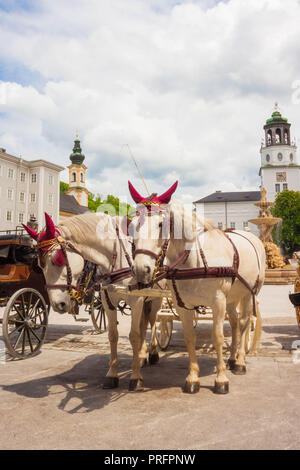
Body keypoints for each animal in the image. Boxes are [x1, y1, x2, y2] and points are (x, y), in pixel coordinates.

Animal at [22, 211, 162, 392]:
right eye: (39, 265)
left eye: (57, 259)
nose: (58, 305)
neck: (115, 258)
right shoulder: (107, 301)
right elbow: (113, 335)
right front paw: (112, 374)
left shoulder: (136, 299)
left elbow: (134, 335)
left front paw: (135, 377)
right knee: (144, 324)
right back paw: (142, 356)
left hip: (156, 298)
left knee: (152, 321)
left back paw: (153, 353)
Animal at [129, 200, 264, 394]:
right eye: (131, 227)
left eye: (161, 225)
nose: (141, 270)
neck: (193, 259)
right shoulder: (183, 305)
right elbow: (189, 337)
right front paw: (193, 378)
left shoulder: (218, 302)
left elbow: (218, 337)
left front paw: (221, 379)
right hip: (232, 298)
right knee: (235, 323)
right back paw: (232, 358)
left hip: (249, 293)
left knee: (245, 322)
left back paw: (239, 361)